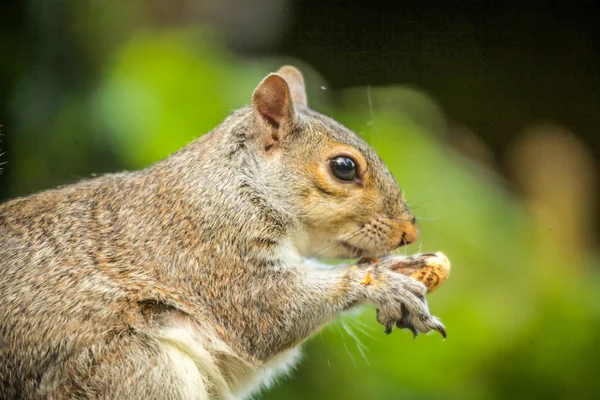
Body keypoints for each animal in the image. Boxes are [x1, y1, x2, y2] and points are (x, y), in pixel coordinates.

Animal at [1, 66, 446, 400]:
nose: (408, 232)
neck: (236, 184)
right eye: (344, 167)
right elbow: (268, 312)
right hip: (135, 369)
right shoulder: (208, 251)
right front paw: (385, 283)